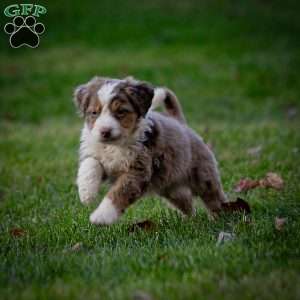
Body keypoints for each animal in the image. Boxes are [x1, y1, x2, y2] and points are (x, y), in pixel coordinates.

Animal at [73, 76, 230, 224]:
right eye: (94, 112)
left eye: (121, 111)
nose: (105, 131)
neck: (115, 145)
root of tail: (180, 123)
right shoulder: (101, 158)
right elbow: (90, 163)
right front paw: (86, 193)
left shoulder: (138, 171)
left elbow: (118, 193)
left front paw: (101, 216)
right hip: (172, 188)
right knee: (187, 203)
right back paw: (190, 221)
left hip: (203, 177)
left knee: (214, 198)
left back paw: (222, 217)